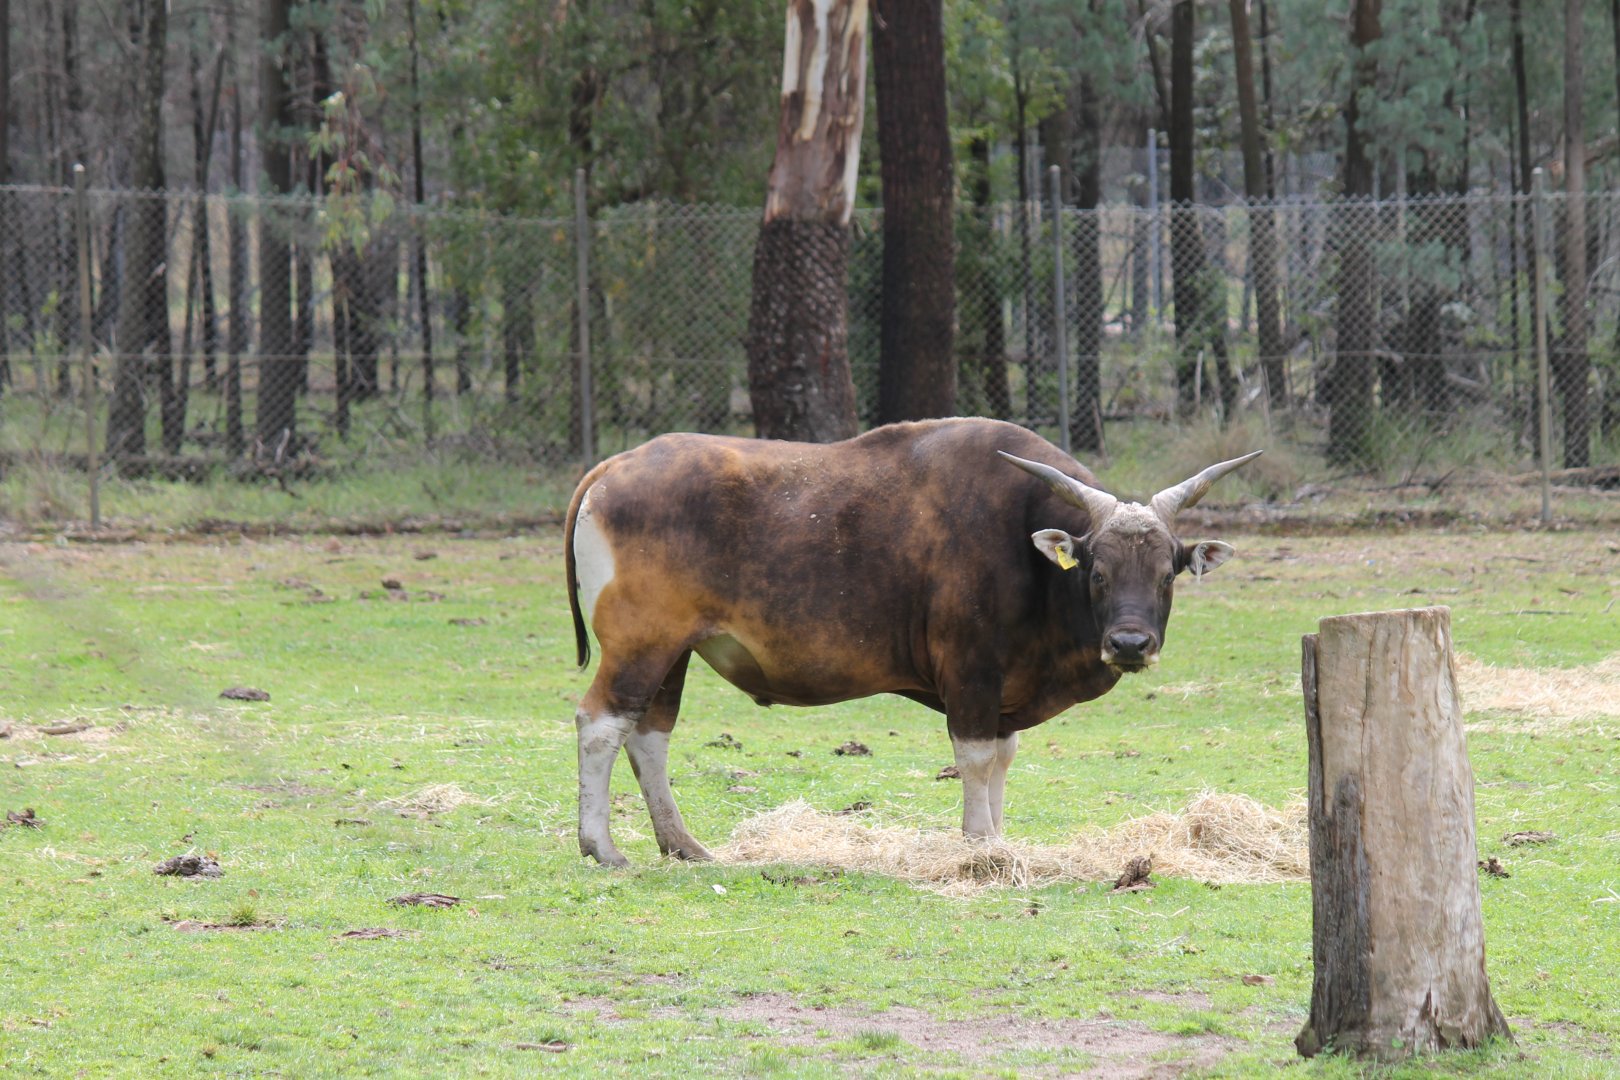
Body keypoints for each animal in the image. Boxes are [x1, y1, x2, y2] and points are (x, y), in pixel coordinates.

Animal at [564, 417, 1260, 867]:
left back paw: (681, 845)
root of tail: (613, 466)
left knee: (649, 734)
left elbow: (1002, 761)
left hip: (675, 652)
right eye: (1097, 572)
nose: (1131, 643)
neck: (1024, 544)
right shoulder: (972, 675)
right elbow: (974, 760)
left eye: (1167, 573)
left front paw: (999, 839)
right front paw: (980, 848)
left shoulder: (1004, 692)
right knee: (600, 723)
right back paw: (602, 846)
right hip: (640, 645)